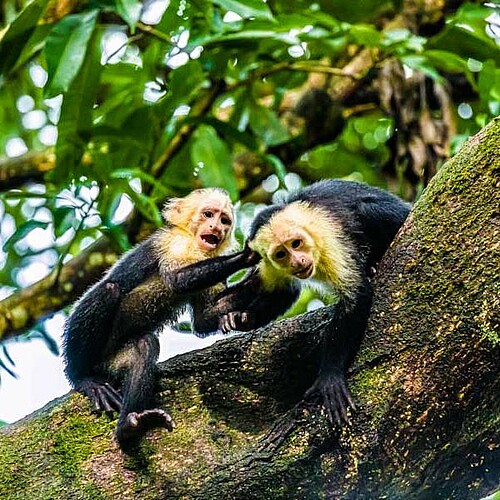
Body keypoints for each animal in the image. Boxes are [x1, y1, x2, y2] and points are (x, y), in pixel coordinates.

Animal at [63, 188, 258, 450]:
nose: (216, 227)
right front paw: (248, 256)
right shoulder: (174, 243)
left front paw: (236, 313)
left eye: (224, 220)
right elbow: (177, 280)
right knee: (109, 290)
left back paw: (129, 425)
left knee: (142, 347)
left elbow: (204, 320)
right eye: (208, 214)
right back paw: (84, 378)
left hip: (112, 361)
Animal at [197, 180, 412, 426]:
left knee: (368, 209)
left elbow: (356, 296)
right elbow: (281, 291)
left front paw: (330, 376)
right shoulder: (266, 259)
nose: (298, 261)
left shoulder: (328, 238)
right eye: (281, 254)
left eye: (296, 244)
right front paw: (241, 318)